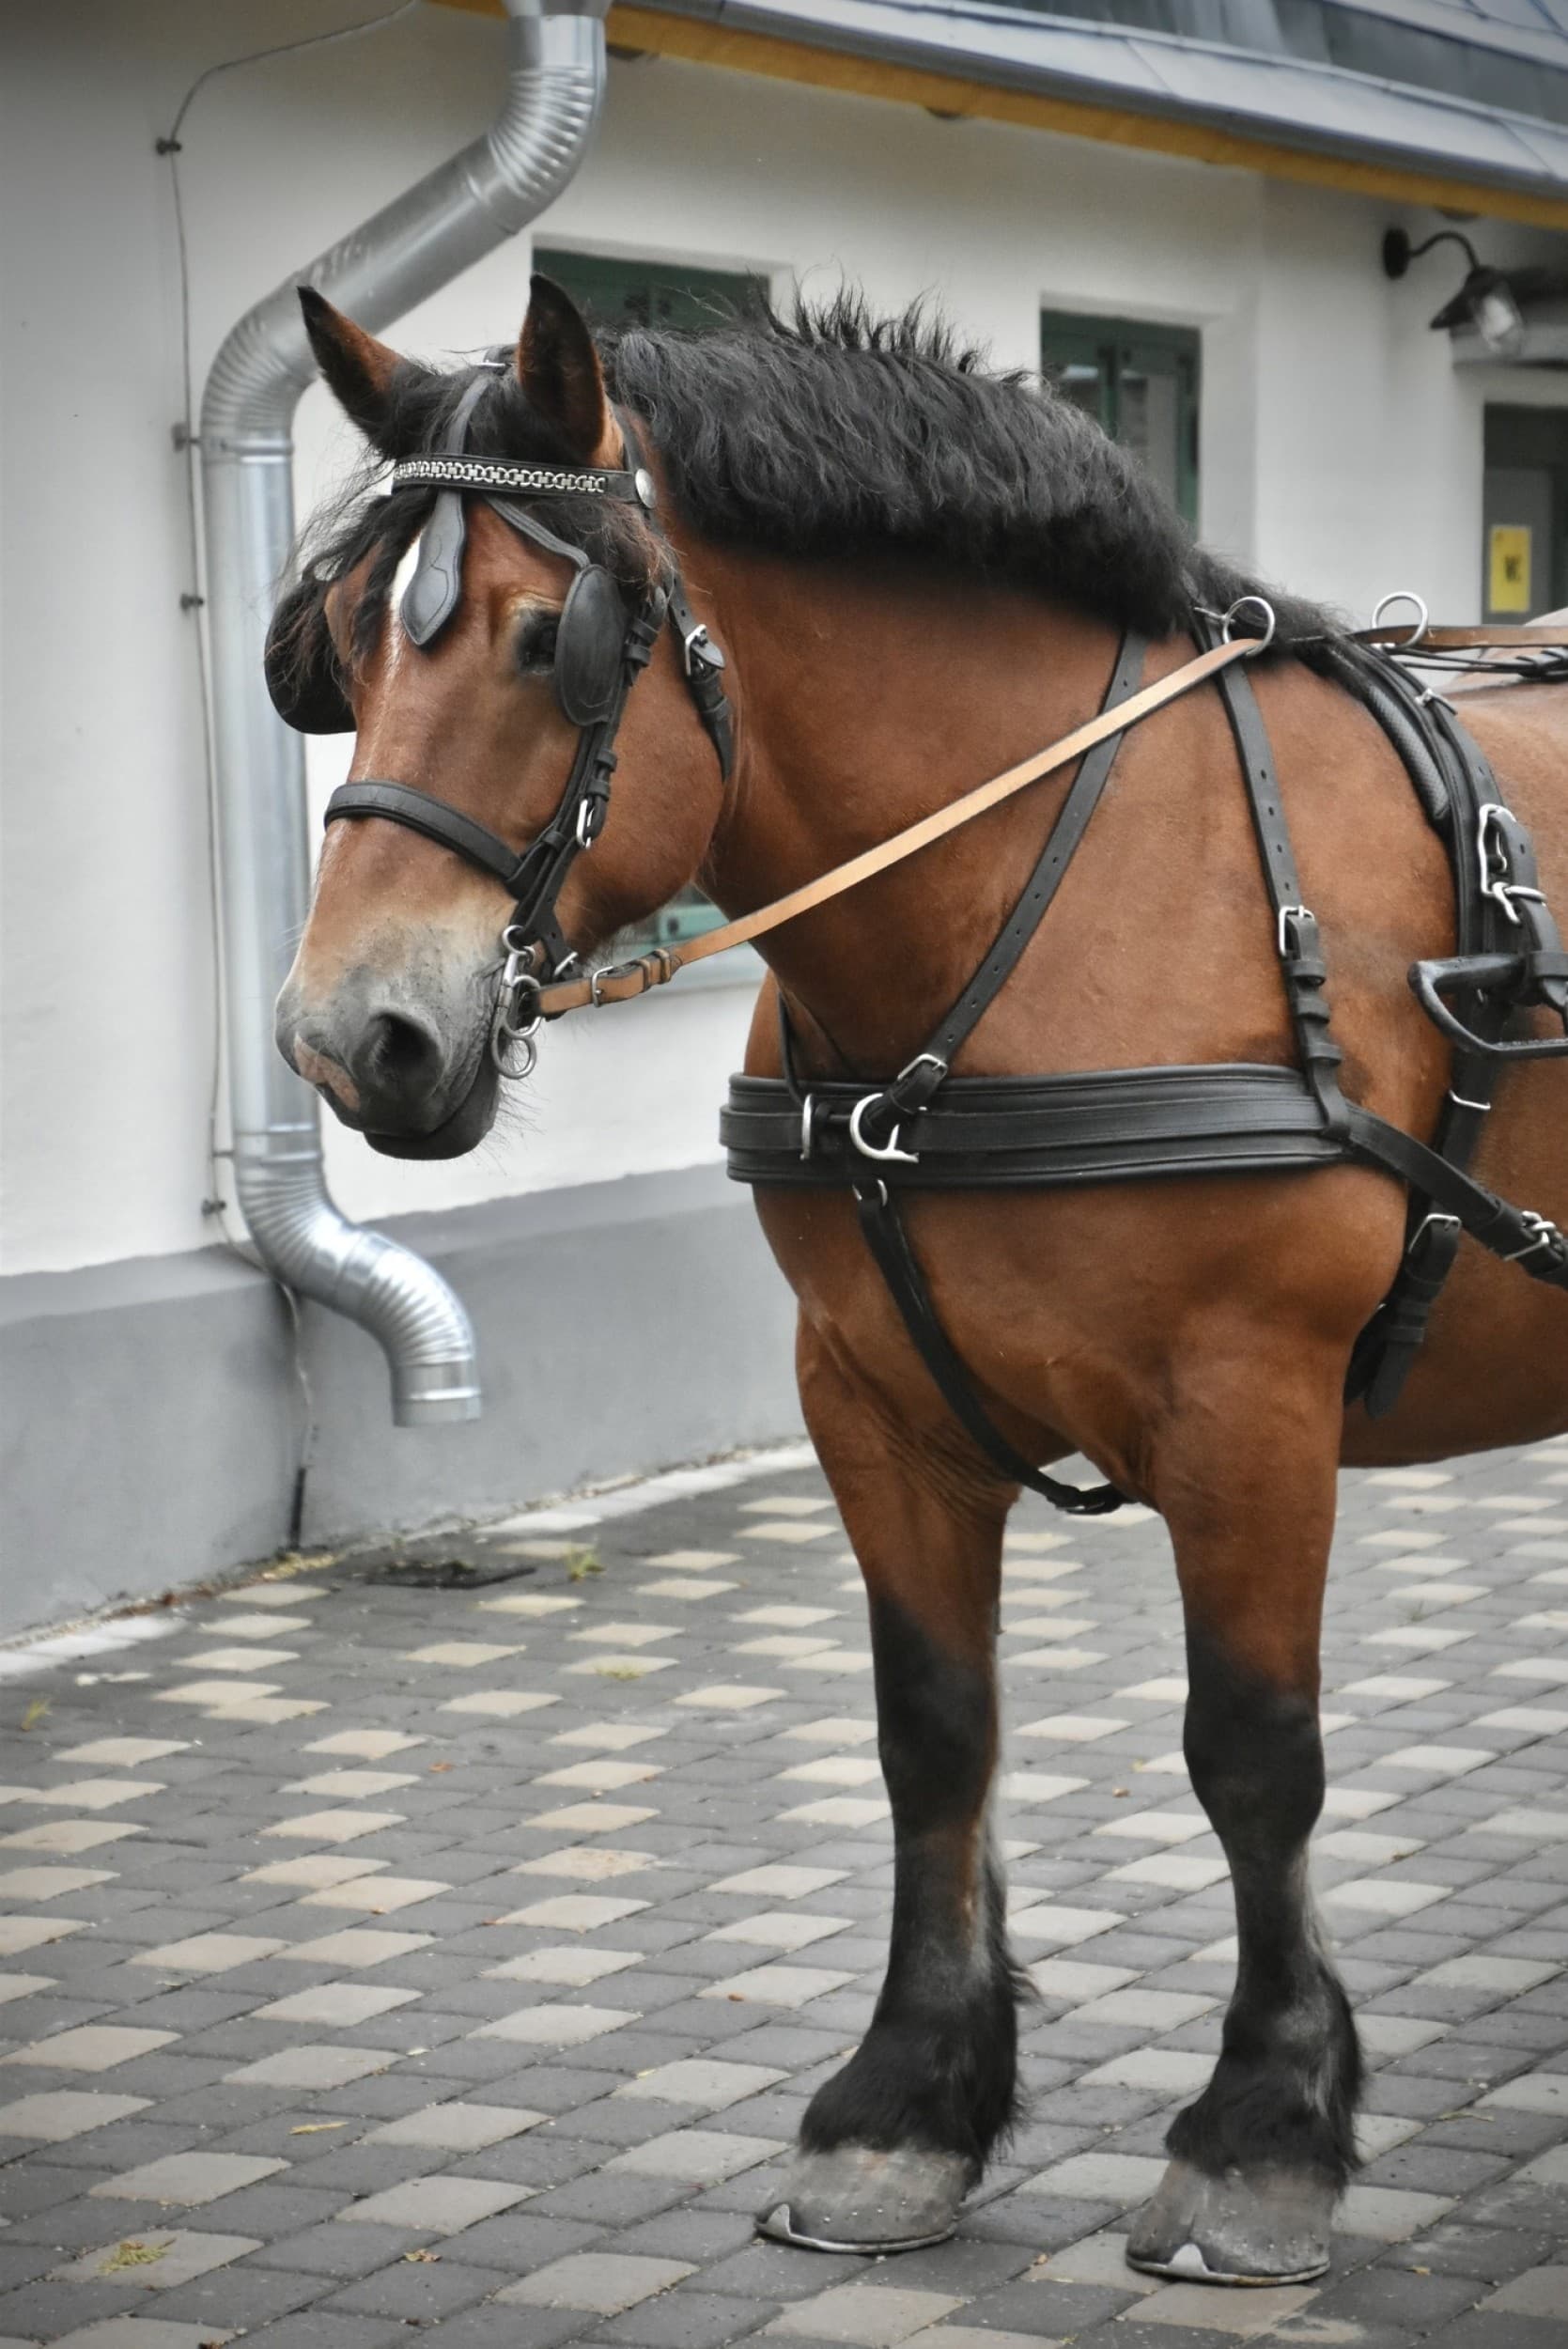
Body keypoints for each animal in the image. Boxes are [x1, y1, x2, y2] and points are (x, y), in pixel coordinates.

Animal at [267, 275, 1568, 2286]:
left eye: (547, 640)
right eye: (336, 641)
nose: (356, 1043)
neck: (1042, 890)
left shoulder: (1249, 1402)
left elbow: (1250, 1754)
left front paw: (1263, 2131)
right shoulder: (871, 1398)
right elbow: (930, 1737)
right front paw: (902, 2107)